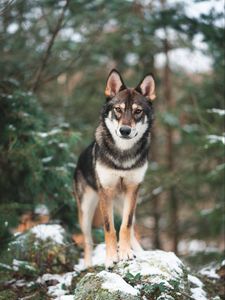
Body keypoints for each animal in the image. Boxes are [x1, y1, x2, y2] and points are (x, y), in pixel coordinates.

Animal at [73, 69, 156, 268]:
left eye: (138, 111)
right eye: (118, 109)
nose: (125, 131)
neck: (122, 155)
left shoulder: (133, 190)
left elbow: (125, 226)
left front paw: (125, 253)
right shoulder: (106, 191)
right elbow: (109, 228)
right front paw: (111, 258)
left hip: (127, 202)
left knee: (131, 228)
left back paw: (140, 252)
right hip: (86, 211)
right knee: (87, 241)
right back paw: (88, 265)